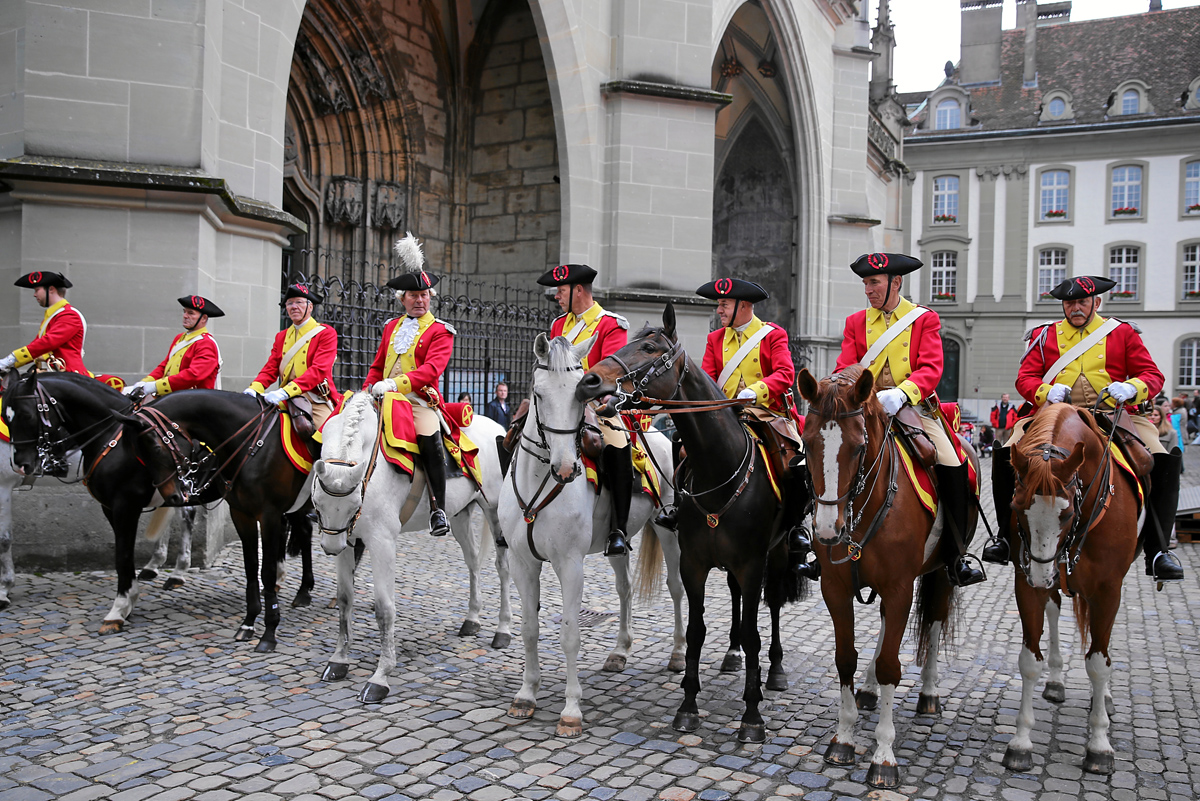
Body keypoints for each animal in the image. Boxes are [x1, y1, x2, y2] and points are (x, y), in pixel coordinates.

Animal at [309, 393, 511, 700]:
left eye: (354, 504)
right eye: (318, 502)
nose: (331, 547)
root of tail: (498, 428)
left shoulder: (381, 541)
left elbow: (384, 609)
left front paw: (380, 676)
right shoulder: (348, 540)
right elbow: (345, 600)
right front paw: (339, 660)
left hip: (494, 511)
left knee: (502, 568)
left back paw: (503, 630)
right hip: (460, 514)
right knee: (473, 561)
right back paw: (472, 618)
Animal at [499, 333, 686, 738]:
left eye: (578, 395)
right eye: (538, 394)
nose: (566, 468)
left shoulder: (570, 564)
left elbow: (570, 633)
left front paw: (571, 711)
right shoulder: (523, 563)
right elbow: (529, 628)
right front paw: (526, 695)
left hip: (668, 530)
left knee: (678, 589)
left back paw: (679, 653)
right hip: (619, 543)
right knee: (625, 589)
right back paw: (620, 650)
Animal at [571, 303, 806, 743]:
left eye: (649, 348)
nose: (590, 381)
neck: (721, 467)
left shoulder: (752, 563)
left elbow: (754, 630)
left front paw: (752, 715)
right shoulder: (695, 564)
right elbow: (697, 630)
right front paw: (688, 705)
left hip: (780, 549)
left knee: (774, 604)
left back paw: (778, 669)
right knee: (735, 598)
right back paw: (732, 655)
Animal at [796, 366, 974, 791]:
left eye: (859, 447)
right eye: (806, 444)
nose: (827, 531)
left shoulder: (899, 589)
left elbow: (893, 665)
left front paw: (884, 756)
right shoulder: (836, 589)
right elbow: (846, 657)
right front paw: (843, 737)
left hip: (942, 573)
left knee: (935, 620)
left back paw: (928, 693)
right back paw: (868, 689)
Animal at [998, 402, 1137, 772]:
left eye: (1066, 514)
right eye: (1016, 507)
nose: (1040, 576)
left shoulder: (1108, 591)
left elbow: (1098, 664)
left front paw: (1100, 745)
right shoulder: (1025, 584)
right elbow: (1029, 660)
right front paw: (1021, 742)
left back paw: (1105, 699)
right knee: (1055, 609)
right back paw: (1057, 681)